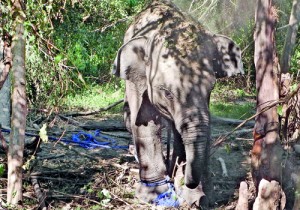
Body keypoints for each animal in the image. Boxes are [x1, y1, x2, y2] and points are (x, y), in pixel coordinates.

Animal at [111, 0, 243, 207]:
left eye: (211, 88)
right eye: (167, 92)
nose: (188, 182)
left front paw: (197, 195)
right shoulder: (139, 80)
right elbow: (145, 121)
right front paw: (155, 194)